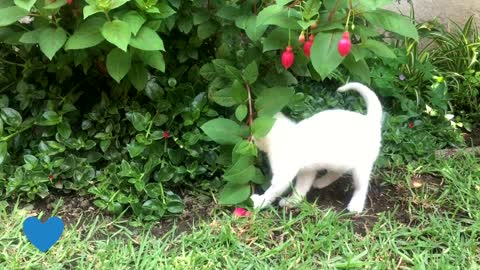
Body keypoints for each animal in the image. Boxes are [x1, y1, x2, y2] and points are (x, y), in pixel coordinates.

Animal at [251, 82, 382, 213]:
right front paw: (292, 201)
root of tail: (370, 120)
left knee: (362, 186)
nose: (252, 138)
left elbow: (273, 191)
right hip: (339, 161)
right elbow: (301, 188)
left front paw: (260, 202)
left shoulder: (283, 175)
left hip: (361, 168)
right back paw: (321, 182)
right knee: (337, 173)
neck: (287, 135)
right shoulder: (307, 171)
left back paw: (356, 205)